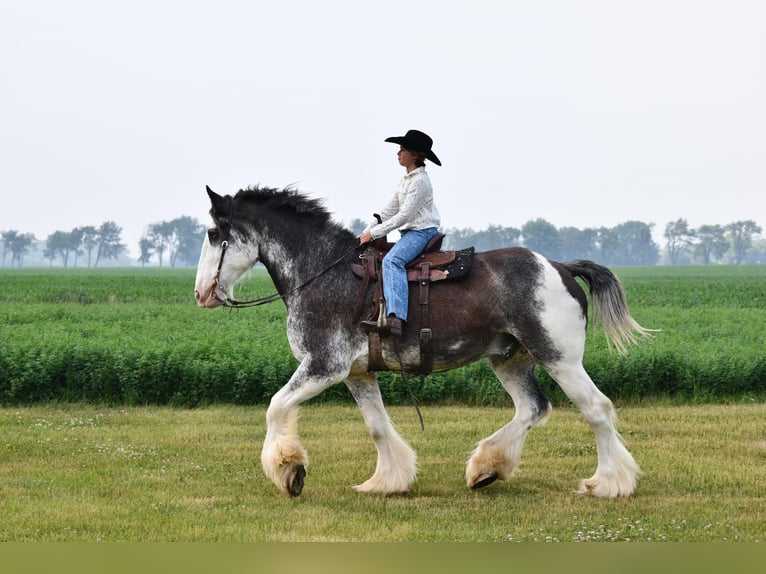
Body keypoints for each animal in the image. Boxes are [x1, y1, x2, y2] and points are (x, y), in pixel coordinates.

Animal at [195, 186, 652, 500]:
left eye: (214, 232)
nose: (202, 293)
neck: (322, 272)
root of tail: (560, 266)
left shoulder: (323, 366)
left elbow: (276, 407)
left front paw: (290, 471)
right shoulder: (357, 373)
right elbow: (378, 426)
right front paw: (386, 481)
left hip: (560, 359)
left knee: (596, 409)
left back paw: (609, 483)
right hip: (511, 360)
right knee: (533, 408)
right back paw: (486, 468)